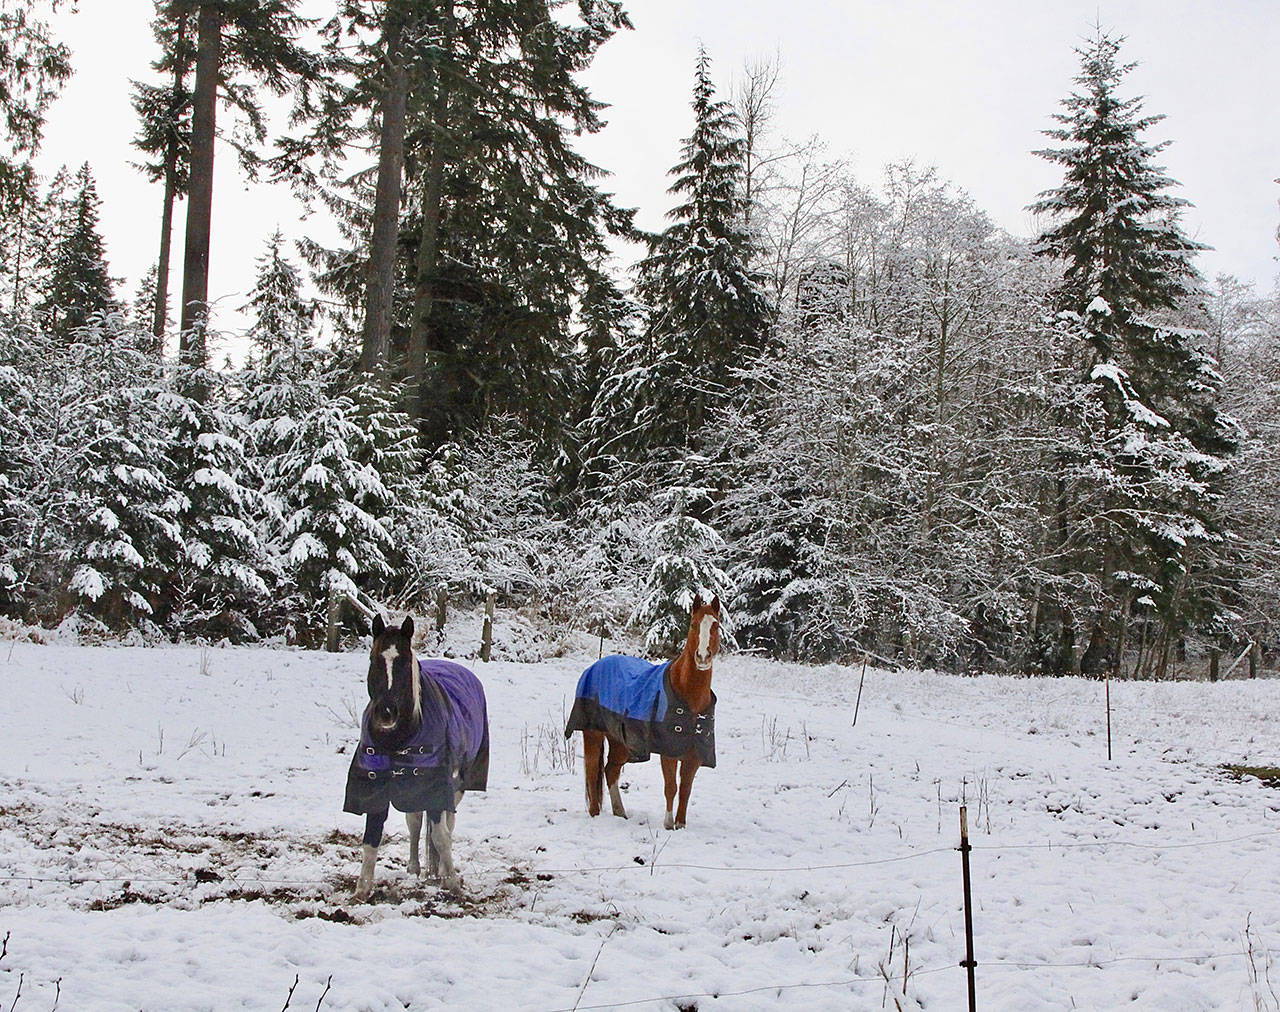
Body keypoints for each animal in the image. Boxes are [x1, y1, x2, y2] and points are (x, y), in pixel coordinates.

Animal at [342, 614, 489, 900]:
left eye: (403, 663)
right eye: (375, 660)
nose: (386, 712)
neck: (397, 739)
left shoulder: (437, 785)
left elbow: (441, 836)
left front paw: (451, 882)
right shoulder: (375, 785)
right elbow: (371, 839)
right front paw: (362, 889)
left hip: (458, 783)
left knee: (448, 823)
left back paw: (441, 870)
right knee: (415, 821)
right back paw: (414, 867)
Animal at [565, 594, 721, 829]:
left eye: (716, 625)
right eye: (693, 625)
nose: (703, 657)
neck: (689, 697)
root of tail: (593, 667)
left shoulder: (694, 755)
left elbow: (685, 790)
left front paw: (680, 825)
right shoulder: (668, 751)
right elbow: (671, 787)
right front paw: (668, 825)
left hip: (620, 742)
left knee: (610, 770)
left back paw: (620, 813)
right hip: (593, 733)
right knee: (592, 772)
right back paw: (594, 814)